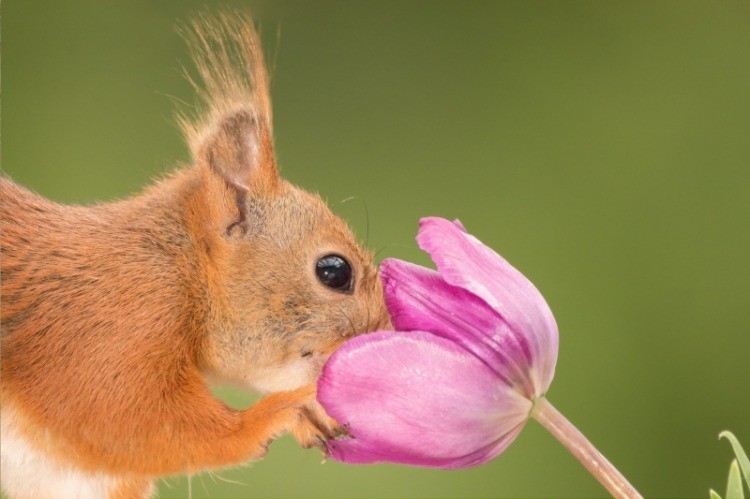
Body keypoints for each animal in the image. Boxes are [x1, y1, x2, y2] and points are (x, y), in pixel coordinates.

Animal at [0, 11, 388, 499]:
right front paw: (283, 412)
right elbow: (138, 424)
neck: (180, 266)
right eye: (334, 271)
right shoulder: (107, 331)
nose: (385, 333)